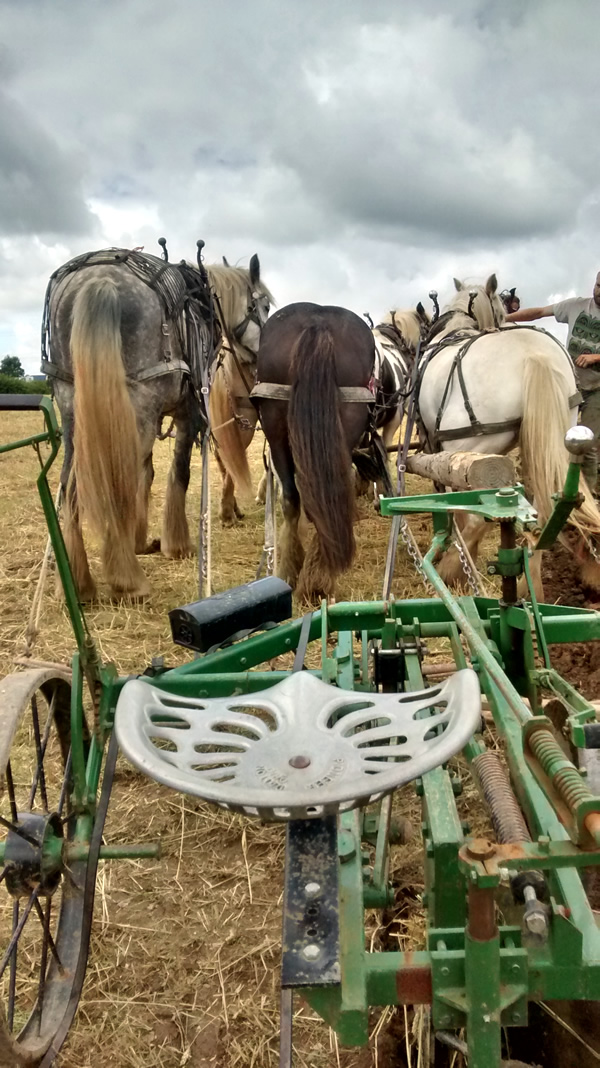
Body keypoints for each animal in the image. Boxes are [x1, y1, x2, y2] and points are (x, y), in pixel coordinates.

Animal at [46, 247, 272, 601]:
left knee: (71, 488)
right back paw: (128, 581)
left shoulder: (149, 418)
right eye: (264, 306)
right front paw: (176, 545)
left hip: (74, 411)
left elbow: (146, 474)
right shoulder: (187, 411)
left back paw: (78, 582)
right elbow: (179, 472)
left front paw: (140, 540)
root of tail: (98, 279)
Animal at [416, 274, 600, 597]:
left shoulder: (437, 447)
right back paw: (531, 584)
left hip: (469, 447)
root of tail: (533, 355)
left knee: (474, 511)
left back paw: (451, 569)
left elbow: (453, 506)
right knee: (542, 512)